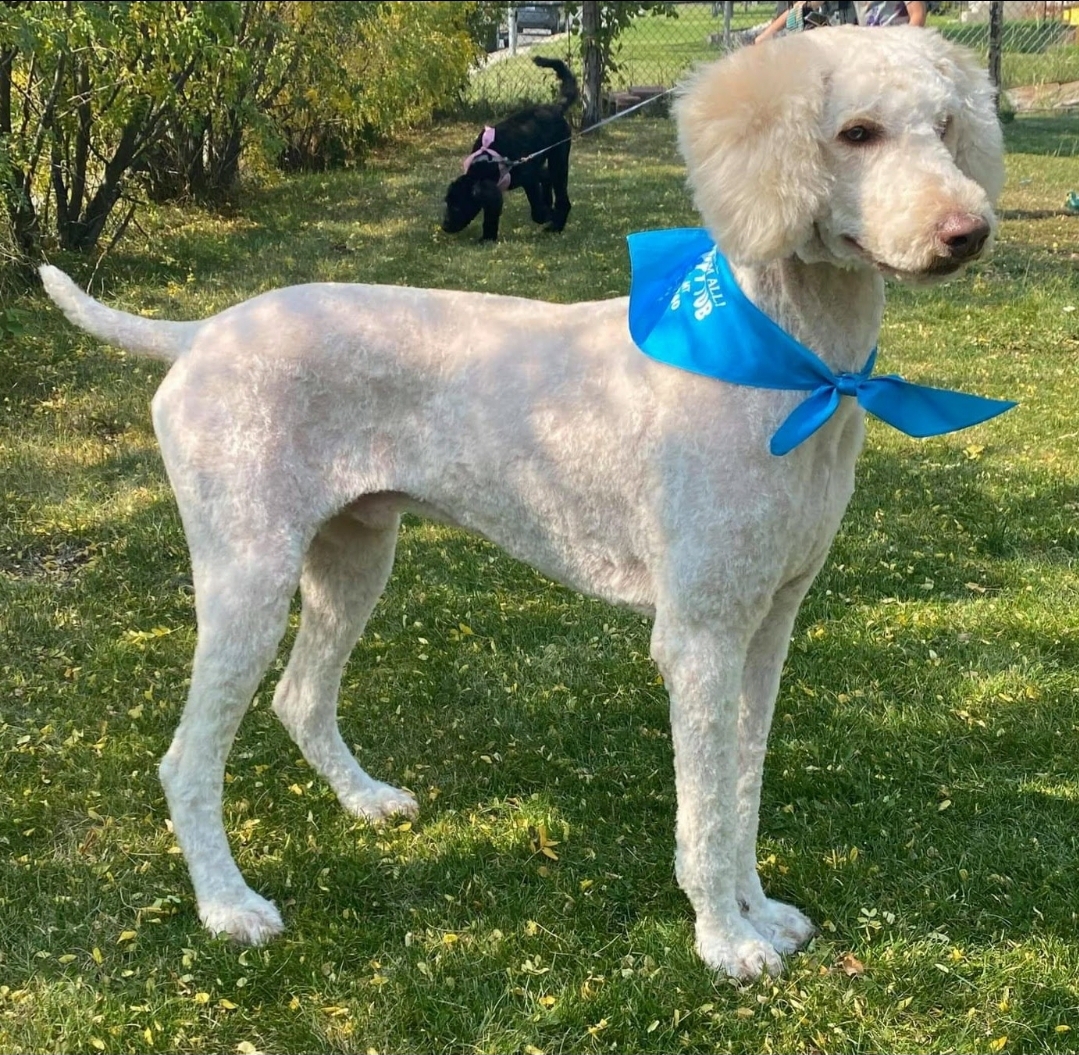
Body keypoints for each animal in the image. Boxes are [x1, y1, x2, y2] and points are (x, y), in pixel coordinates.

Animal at [440, 57, 578, 240]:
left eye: (456, 207)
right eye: (447, 203)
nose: (444, 226)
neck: (486, 164)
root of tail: (555, 108)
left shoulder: (528, 179)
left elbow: (537, 211)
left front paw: (548, 214)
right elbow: (491, 215)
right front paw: (487, 238)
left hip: (559, 158)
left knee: (562, 196)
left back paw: (556, 225)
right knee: (547, 176)